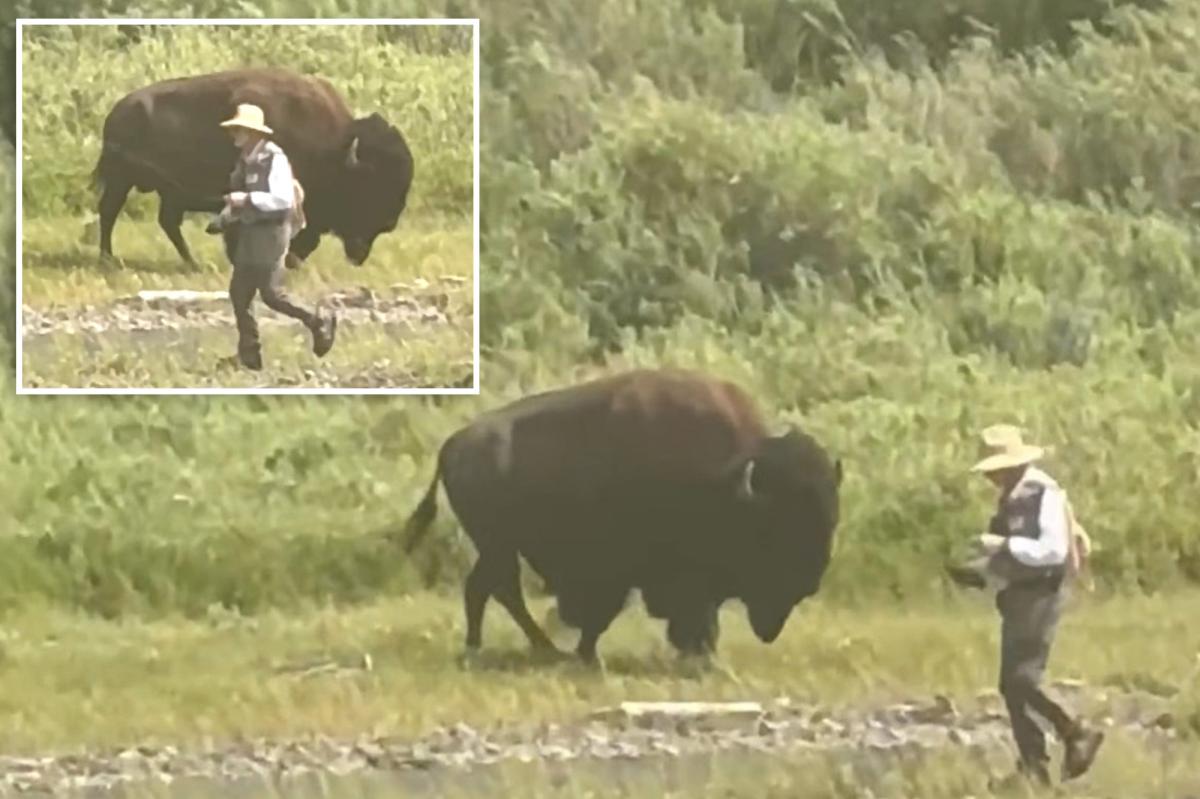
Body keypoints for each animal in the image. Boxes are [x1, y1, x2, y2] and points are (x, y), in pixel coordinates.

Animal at [92, 67, 414, 268]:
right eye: (370, 184)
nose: (390, 223)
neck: (334, 148)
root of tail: (117, 112)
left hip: (164, 192)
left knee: (166, 222)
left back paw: (192, 262)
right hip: (122, 180)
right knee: (109, 213)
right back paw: (108, 260)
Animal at [402, 368, 843, 663]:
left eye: (831, 517)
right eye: (782, 525)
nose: (812, 580)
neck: (731, 478)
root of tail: (452, 444)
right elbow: (610, 612)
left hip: (497, 547)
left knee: (491, 589)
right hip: (498, 546)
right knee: (494, 589)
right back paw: (512, 649)